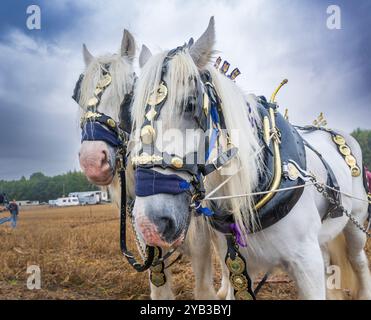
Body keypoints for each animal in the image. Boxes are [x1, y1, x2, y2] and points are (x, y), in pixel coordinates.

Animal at [75, 30, 221, 300]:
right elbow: (160, 289)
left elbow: (205, 288)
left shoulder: (200, 239)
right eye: (78, 97)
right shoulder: (148, 243)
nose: (92, 161)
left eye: (127, 97)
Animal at [132, 17, 370, 300]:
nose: (149, 225)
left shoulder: (306, 262)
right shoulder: (238, 266)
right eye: (133, 117)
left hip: (355, 226)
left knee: (359, 262)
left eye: (190, 105)